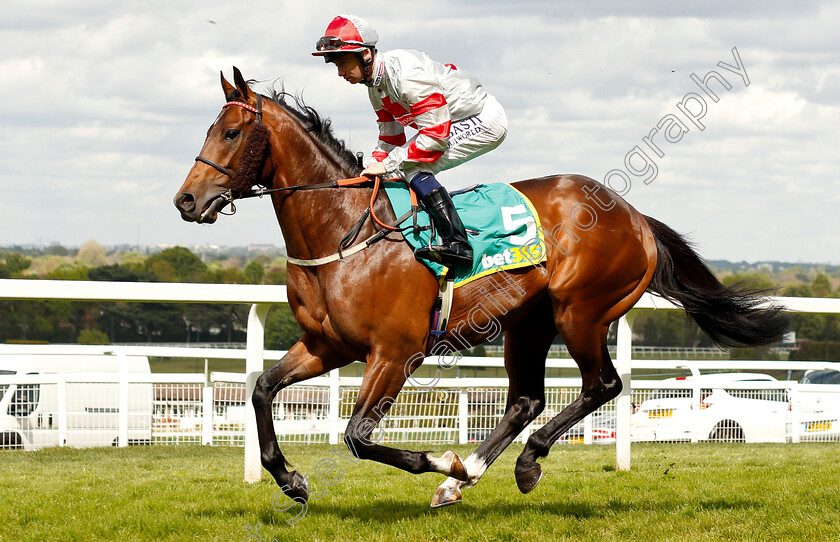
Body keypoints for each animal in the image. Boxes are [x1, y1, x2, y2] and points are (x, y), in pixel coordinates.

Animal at [174, 68, 792, 510]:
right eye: (208, 130)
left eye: (231, 132)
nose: (186, 201)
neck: (344, 233)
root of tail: (635, 217)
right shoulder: (328, 345)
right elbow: (261, 390)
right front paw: (291, 480)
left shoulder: (395, 353)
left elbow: (356, 436)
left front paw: (441, 462)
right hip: (527, 322)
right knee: (526, 398)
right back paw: (468, 474)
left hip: (580, 311)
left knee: (603, 384)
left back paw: (517, 464)